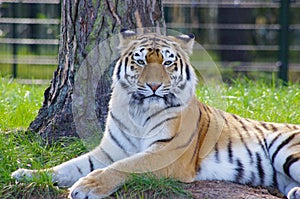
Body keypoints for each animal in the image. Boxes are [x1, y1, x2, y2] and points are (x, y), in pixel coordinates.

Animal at [12, 29, 300, 199]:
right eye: (140, 61)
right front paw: (27, 174)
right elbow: (69, 166)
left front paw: (86, 187)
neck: (138, 111)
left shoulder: (166, 152)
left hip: (286, 150)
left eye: (168, 62)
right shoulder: (109, 150)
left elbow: (126, 166)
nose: (153, 86)